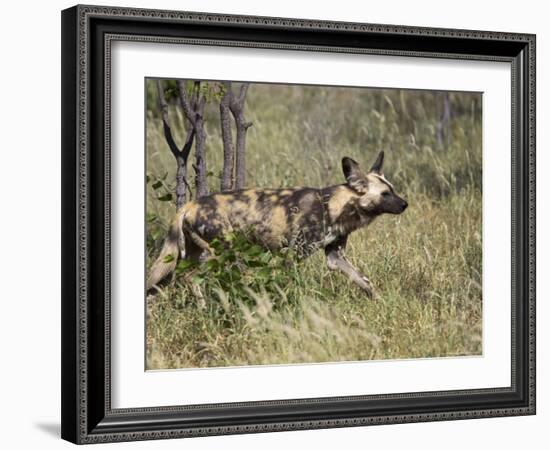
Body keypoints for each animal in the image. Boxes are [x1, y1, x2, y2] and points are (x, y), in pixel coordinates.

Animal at [149, 153, 408, 298]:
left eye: (393, 190)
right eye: (385, 194)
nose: (405, 204)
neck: (336, 205)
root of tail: (189, 205)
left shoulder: (335, 257)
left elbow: (364, 281)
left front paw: (378, 301)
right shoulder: (294, 253)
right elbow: (289, 284)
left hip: (186, 256)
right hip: (219, 253)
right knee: (190, 279)